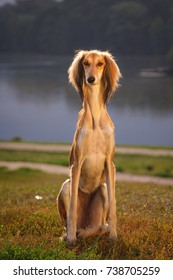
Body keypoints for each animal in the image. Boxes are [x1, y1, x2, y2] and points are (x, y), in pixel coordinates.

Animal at [57, 50, 121, 243]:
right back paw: (69, 233)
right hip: (67, 185)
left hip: (103, 190)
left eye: (100, 63)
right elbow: (72, 209)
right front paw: (71, 238)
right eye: (85, 63)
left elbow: (114, 207)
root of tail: (85, 226)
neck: (95, 118)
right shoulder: (76, 164)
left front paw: (113, 235)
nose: (91, 79)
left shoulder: (110, 163)